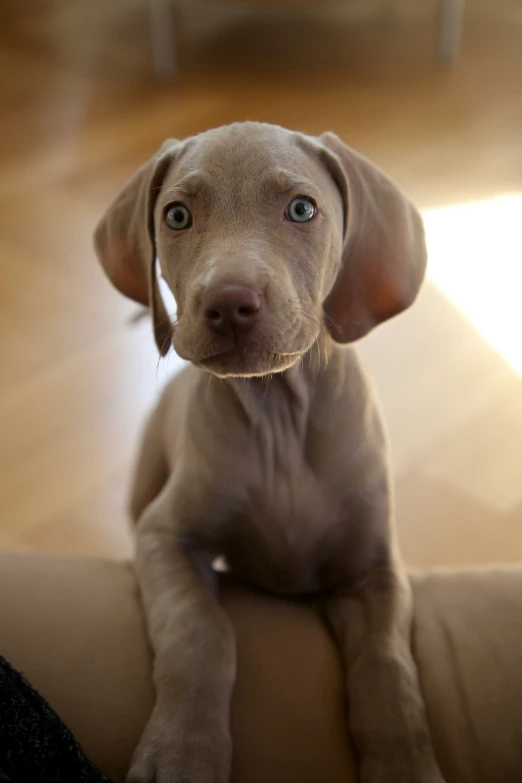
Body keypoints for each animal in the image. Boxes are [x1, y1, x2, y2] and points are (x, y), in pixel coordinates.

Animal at [94, 122, 442, 783]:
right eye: (177, 216)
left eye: (302, 209)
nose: (229, 303)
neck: (280, 416)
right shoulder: (164, 538)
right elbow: (202, 634)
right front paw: (182, 751)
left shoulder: (374, 572)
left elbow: (388, 667)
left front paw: (406, 762)